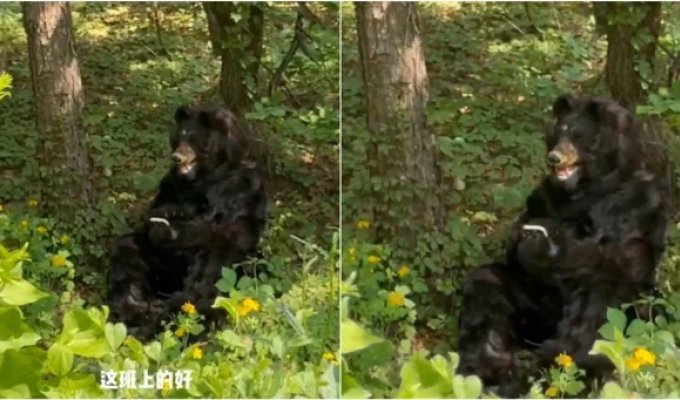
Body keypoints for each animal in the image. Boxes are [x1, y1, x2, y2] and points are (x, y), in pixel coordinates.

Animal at [106, 105, 267, 340]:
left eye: (193, 138)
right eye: (179, 136)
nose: (177, 157)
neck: (205, 176)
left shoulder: (239, 187)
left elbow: (223, 228)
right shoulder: (173, 185)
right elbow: (154, 213)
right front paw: (166, 216)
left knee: (207, 278)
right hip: (160, 263)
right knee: (128, 250)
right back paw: (135, 304)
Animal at [456, 94, 668, 396]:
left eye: (579, 135)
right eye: (558, 132)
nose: (554, 157)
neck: (589, 187)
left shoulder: (633, 202)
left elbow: (617, 256)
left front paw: (546, 246)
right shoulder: (549, 196)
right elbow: (516, 243)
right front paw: (525, 237)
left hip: (635, 311)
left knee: (593, 314)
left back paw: (555, 369)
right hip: (532, 307)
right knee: (486, 285)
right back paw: (487, 368)